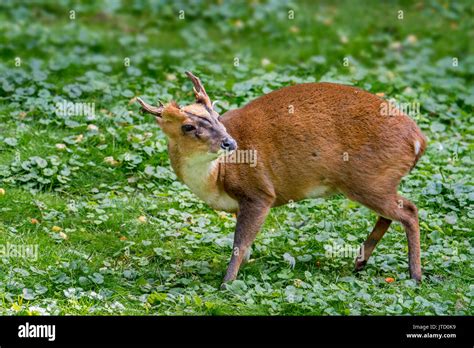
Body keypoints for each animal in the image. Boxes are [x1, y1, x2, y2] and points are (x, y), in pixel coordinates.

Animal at [135, 71, 428, 286]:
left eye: (217, 116)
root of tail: (418, 140)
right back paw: (360, 262)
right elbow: (245, 245)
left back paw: (415, 275)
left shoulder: (259, 192)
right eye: (188, 126)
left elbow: (239, 243)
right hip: (375, 182)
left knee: (409, 210)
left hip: (368, 179)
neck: (217, 176)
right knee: (391, 213)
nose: (230, 142)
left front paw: (226, 283)